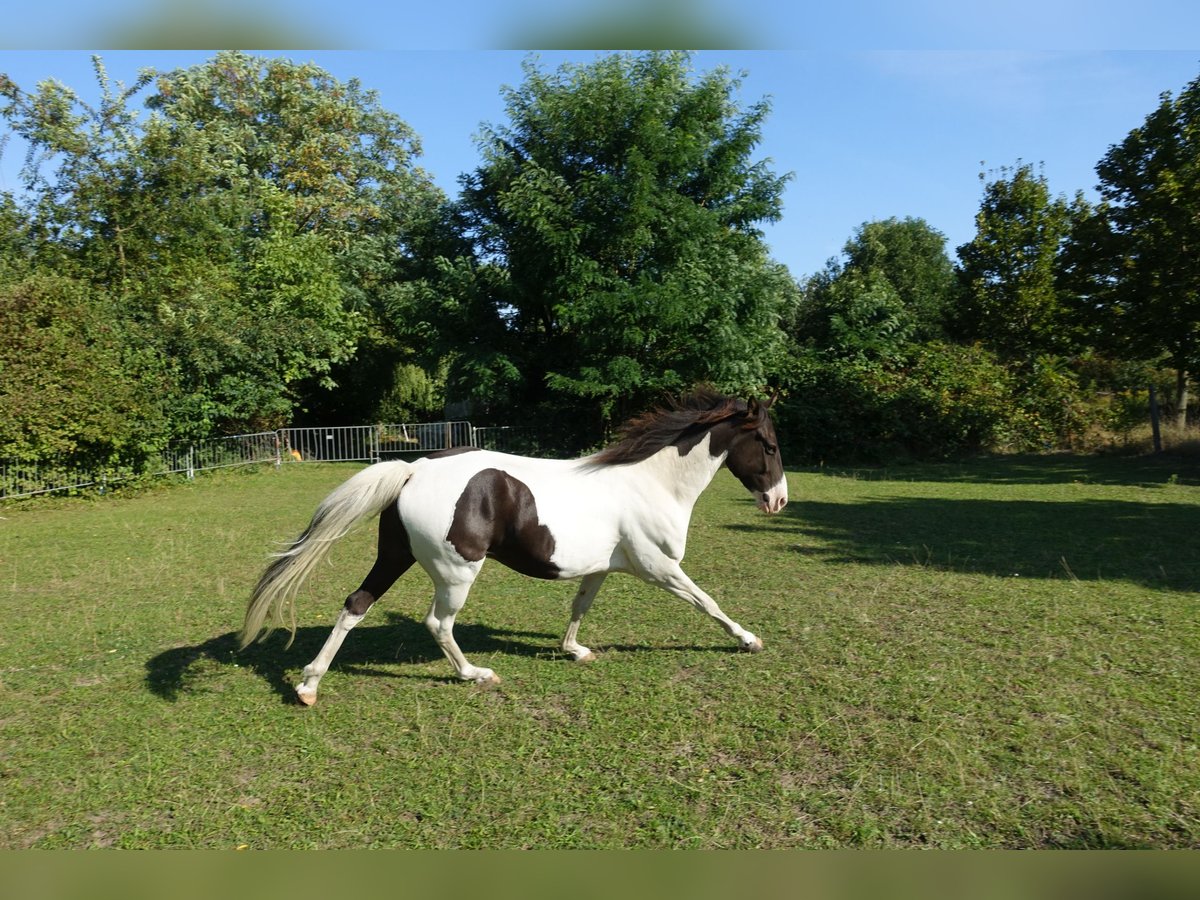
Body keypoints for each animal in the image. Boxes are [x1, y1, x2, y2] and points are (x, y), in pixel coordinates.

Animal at [239, 389, 788, 705]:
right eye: (769, 444)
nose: (779, 500)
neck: (651, 483)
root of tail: (414, 468)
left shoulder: (600, 568)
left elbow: (579, 607)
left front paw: (574, 651)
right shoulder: (660, 567)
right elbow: (707, 602)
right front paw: (749, 639)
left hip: (394, 556)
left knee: (355, 605)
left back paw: (308, 686)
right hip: (456, 572)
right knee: (438, 624)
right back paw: (475, 674)